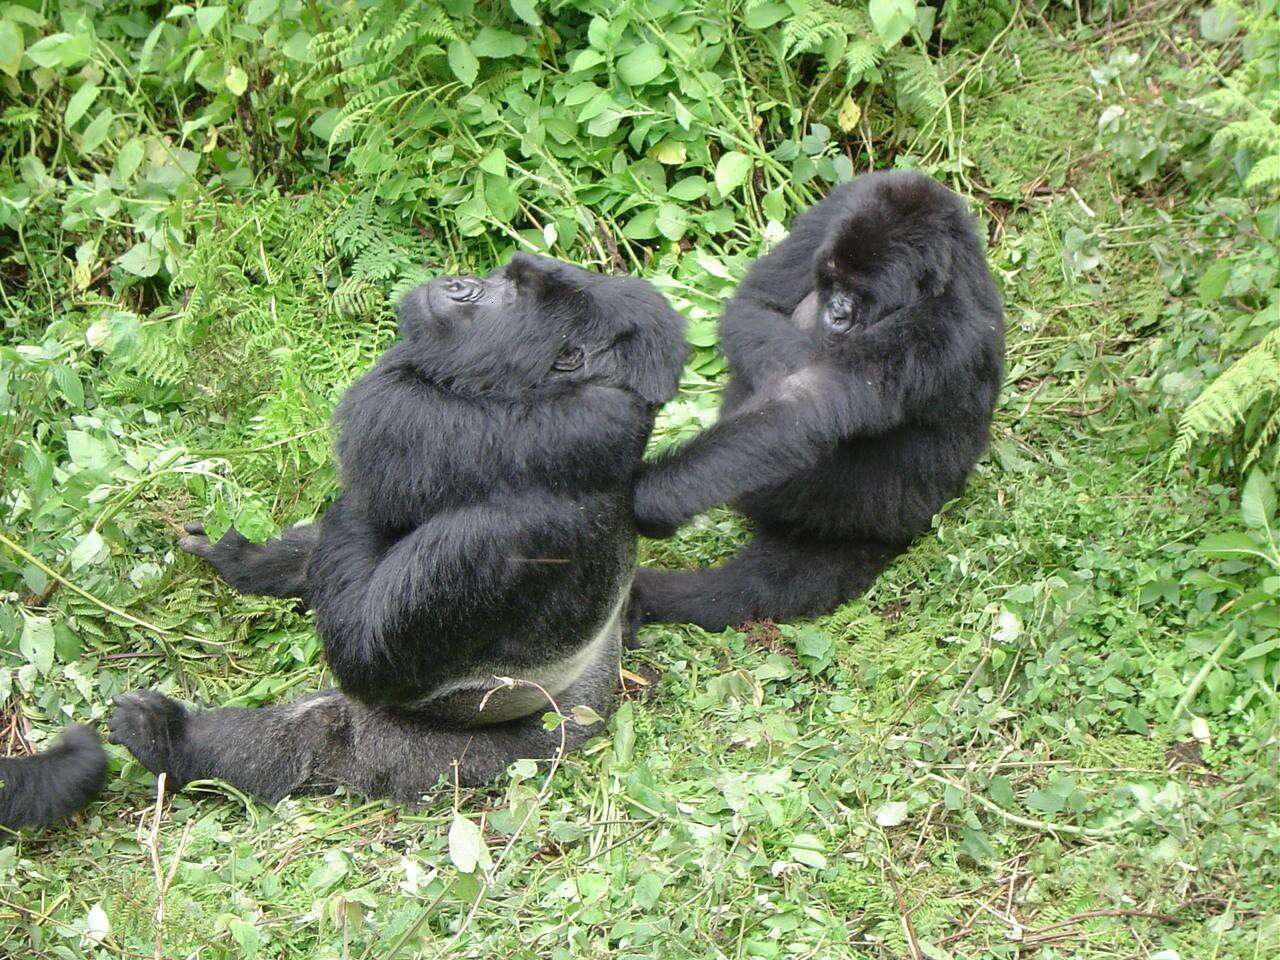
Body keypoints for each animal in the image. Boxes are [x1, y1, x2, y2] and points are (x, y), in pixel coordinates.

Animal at [107, 253, 691, 803]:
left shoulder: (494, 532)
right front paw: (250, 557)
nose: (458, 284)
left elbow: (364, 651)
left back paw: (171, 741)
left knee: (320, 733)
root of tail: (592, 709)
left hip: (484, 758)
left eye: (513, 294)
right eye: (505, 277)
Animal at [634, 171, 1003, 634]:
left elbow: (806, 404)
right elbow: (756, 304)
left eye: (862, 295)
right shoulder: (841, 205)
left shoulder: (940, 329)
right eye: (835, 281)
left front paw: (653, 494)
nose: (837, 315)